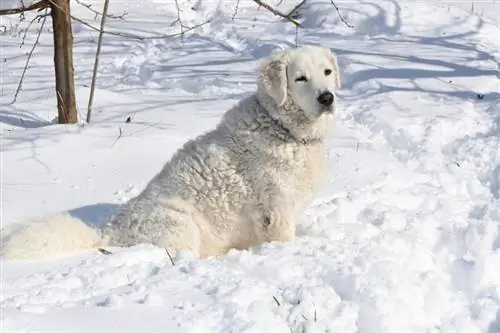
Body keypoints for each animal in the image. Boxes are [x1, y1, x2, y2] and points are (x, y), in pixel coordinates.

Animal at [0, 44, 342, 260]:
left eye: (327, 72)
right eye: (300, 78)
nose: (327, 97)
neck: (282, 128)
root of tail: (108, 235)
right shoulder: (277, 212)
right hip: (182, 225)